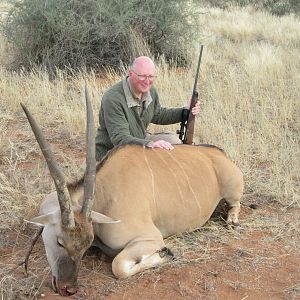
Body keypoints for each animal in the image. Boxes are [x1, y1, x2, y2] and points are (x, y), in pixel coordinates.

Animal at [21, 86, 243, 296]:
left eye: (84, 243)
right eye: (59, 242)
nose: (68, 288)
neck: (104, 196)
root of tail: (218, 154)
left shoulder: (150, 238)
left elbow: (118, 266)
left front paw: (165, 254)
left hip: (232, 192)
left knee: (235, 204)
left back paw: (231, 220)